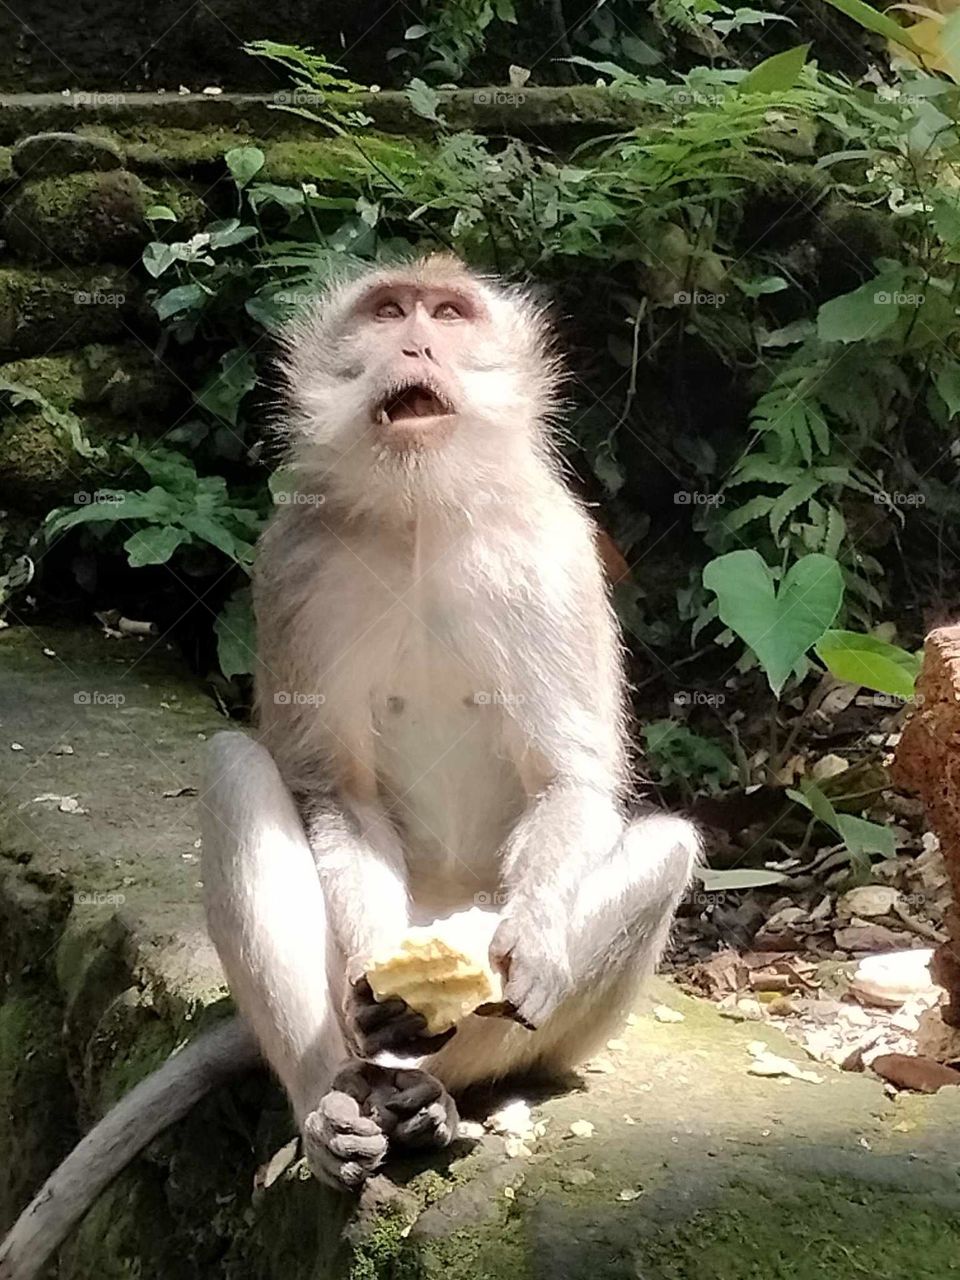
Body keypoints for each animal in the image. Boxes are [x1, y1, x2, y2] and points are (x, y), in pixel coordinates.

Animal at [0, 254, 699, 1278]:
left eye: (449, 314)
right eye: (389, 311)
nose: (415, 346)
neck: (419, 515)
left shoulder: (558, 550)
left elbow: (571, 779)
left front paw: (531, 947)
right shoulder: (293, 559)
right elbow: (334, 788)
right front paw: (378, 983)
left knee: (665, 849)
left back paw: (429, 1100)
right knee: (236, 772)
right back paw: (335, 1104)